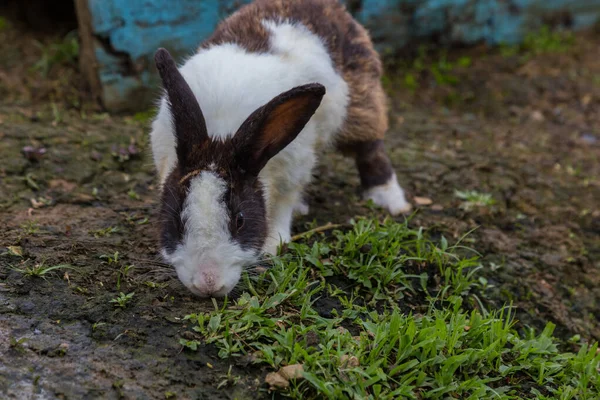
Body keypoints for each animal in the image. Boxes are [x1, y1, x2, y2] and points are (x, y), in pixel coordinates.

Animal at [150, 0, 412, 296]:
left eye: (239, 220)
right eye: (177, 220)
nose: (208, 283)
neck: (221, 135)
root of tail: (328, 6)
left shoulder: (294, 168)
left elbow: (283, 204)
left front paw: (272, 245)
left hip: (361, 101)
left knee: (370, 146)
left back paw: (390, 199)